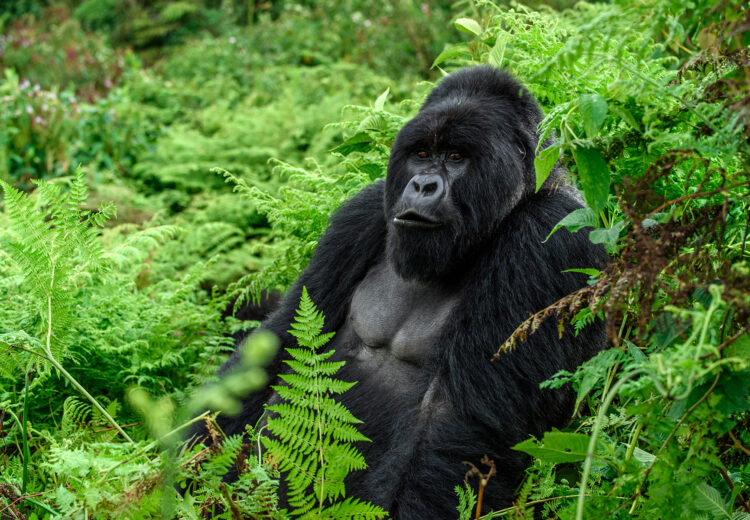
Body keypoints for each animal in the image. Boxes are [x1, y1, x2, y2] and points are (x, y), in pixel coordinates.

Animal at [201, 67, 612, 516]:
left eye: (456, 157)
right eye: (422, 154)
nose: (422, 185)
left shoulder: (546, 237)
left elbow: (451, 422)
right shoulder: (358, 215)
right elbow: (281, 343)